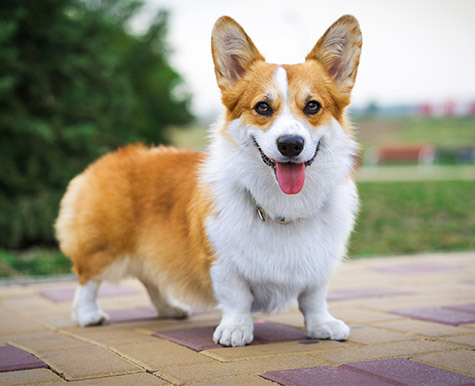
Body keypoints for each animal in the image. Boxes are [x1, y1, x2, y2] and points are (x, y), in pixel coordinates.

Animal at [54, 15, 360, 346]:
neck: (283, 208)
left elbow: (313, 298)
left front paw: (322, 325)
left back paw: (170, 309)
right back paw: (88, 315)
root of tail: (108, 159)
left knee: (151, 278)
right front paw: (236, 329)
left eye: (313, 106)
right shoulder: (222, 261)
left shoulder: (319, 265)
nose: (290, 144)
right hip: (105, 248)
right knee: (87, 278)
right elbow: (237, 298)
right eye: (262, 107)